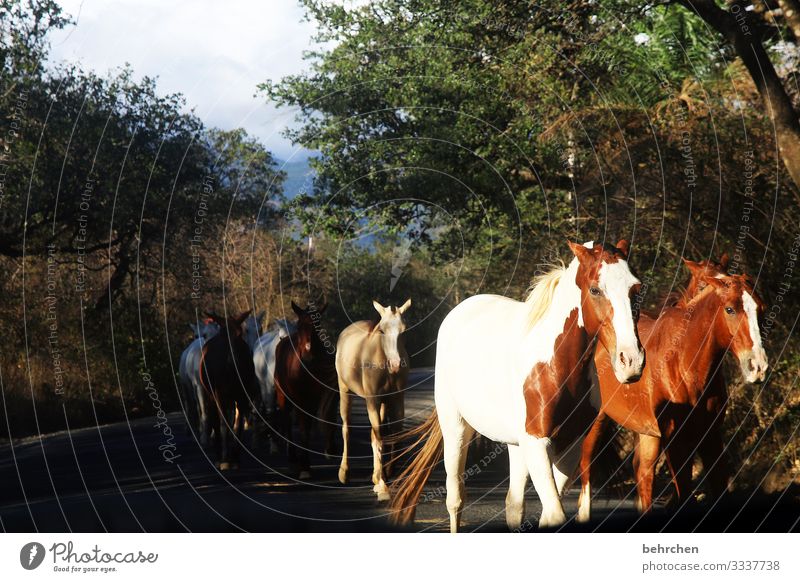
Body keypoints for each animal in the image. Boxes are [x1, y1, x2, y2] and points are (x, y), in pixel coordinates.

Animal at [199, 312, 256, 472]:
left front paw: (233, 458)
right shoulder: (220, 395)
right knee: (218, 421)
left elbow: (236, 424)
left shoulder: (241, 396)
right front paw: (226, 459)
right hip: (215, 395)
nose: (233, 360)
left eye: (240, 333)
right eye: (223, 335)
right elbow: (226, 424)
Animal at [274, 302, 340, 480]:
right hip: (283, 396)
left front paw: (330, 449)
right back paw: (293, 457)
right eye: (299, 325)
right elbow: (304, 430)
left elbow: (326, 418)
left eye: (318, 325)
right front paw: (304, 466)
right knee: (287, 421)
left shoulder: (321, 397)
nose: (307, 357)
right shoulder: (301, 401)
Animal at [390, 242, 648, 532]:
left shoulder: (569, 446)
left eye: (636, 288)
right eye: (595, 289)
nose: (632, 361)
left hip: (515, 445)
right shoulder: (537, 443)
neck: (556, 366)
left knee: (513, 506)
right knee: (455, 501)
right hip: (456, 428)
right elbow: (554, 514)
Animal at [576, 258, 768, 524]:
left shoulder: (710, 437)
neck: (685, 362)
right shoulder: (676, 441)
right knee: (587, 465)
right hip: (597, 421)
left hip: (647, 434)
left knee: (643, 473)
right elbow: (684, 493)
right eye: (730, 309)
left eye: (761, 309)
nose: (757, 366)